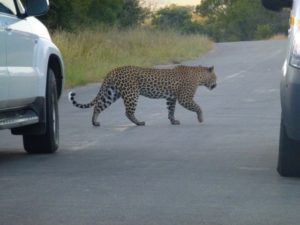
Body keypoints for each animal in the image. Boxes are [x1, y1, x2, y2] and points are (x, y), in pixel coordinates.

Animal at [69, 64, 217, 126]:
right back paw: (139, 123)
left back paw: (95, 122)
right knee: (128, 112)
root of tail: (113, 70)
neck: (199, 76)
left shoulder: (171, 98)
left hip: (112, 93)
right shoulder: (184, 98)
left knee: (98, 106)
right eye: (215, 77)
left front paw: (173, 121)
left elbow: (171, 110)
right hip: (132, 94)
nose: (216, 85)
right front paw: (201, 119)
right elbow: (198, 107)